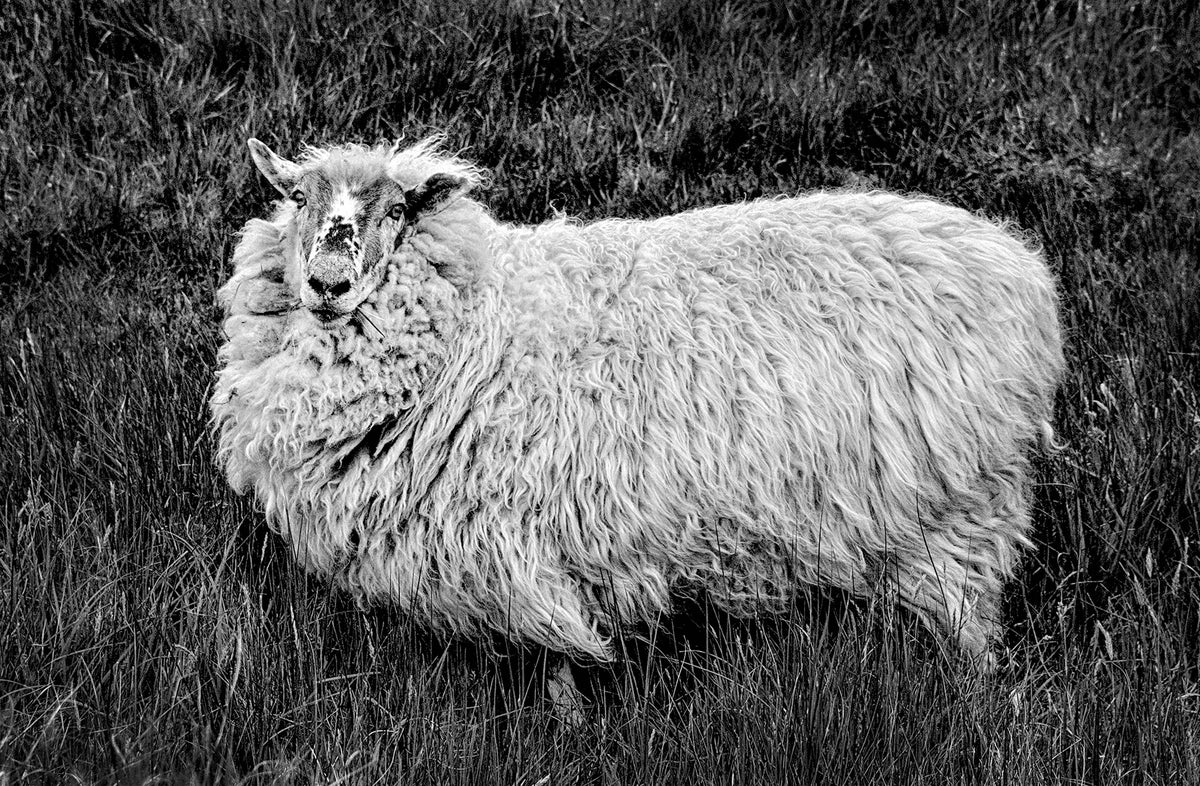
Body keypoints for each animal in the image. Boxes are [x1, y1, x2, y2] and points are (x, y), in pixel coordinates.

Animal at [211, 136, 1063, 685]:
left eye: (395, 210)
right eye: (296, 198)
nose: (327, 283)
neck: (476, 319)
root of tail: (1014, 264)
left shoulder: (523, 546)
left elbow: (560, 661)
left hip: (960, 513)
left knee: (973, 628)